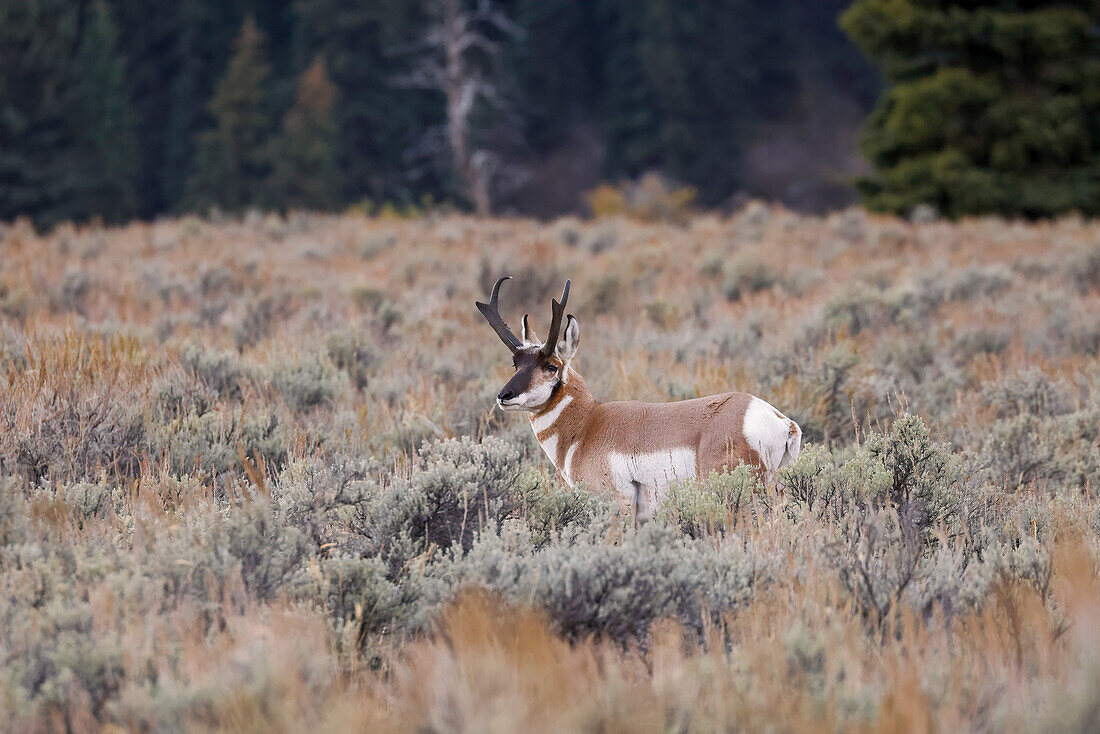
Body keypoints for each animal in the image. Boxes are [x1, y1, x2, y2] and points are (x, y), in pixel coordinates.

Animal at [477, 277, 805, 521]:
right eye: (516, 363)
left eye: (551, 366)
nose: (504, 396)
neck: (587, 425)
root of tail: (777, 419)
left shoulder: (617, 505)